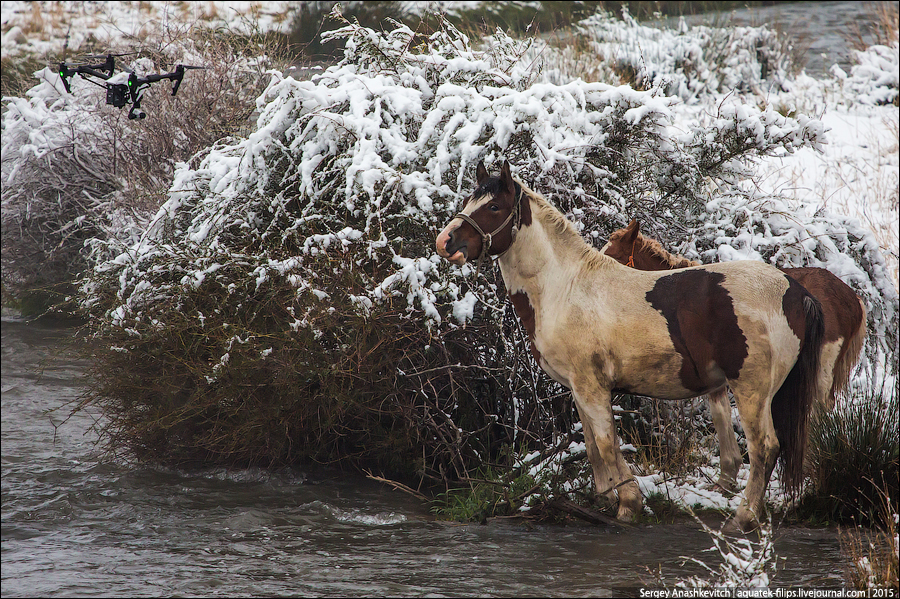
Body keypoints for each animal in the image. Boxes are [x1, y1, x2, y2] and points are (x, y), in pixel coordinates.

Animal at [432, 161, 828, 528]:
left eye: (493, 206)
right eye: (469, 201)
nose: (445, 243)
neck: (564, 287)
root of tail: (796, 292)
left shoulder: (592, 386)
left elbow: (607, 443)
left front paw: (628, 505)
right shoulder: (578, 387)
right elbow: (593, 447)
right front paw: (607, 498)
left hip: (751, 391)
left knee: (764, 448)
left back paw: (742, 518)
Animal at [600, 218, 868, 490]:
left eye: (615, 257)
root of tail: (851, 298)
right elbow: (720, 416)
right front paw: (727, 477)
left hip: (822, 372)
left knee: (819, 412)